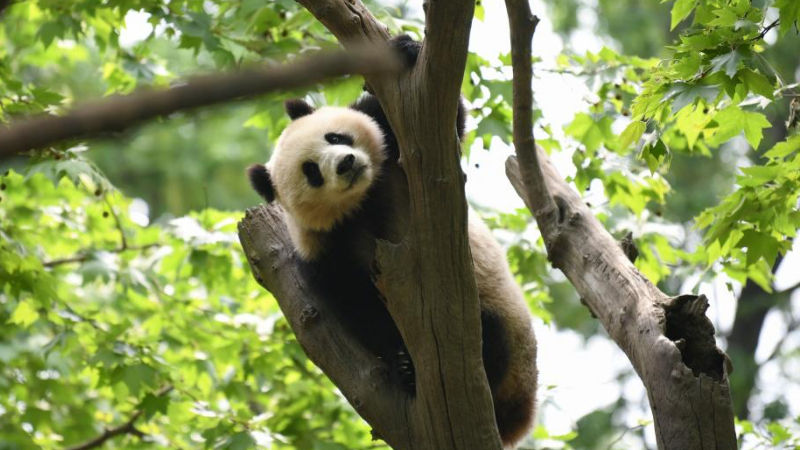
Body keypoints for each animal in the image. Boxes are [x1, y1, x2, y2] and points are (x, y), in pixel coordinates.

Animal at [247, 37, 537, 449]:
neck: (366, 198)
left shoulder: (398, 150)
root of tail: (519, 418)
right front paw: (400, 363)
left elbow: (445, 125)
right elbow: (358, 306)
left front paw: (406, 49)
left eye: (335, 137)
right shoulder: (325, 250)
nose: (346, 163)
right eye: (312, 172)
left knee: (491, 334)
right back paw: (411, 372)